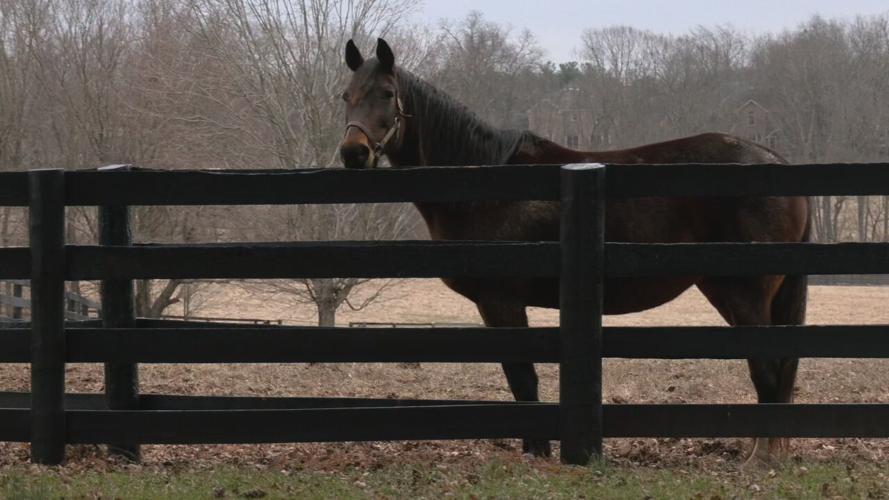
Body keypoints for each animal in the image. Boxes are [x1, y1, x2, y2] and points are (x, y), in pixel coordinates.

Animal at [338, 38, 810, 467]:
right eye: (346, 95)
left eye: (387, 93)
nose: (353, 152)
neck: (484, 184)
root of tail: (775, 159)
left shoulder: (501, 301)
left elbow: (522, 379)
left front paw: (538, 453)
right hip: (726, 292)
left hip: (745, 294)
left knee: (767, 371)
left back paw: (761, 461)